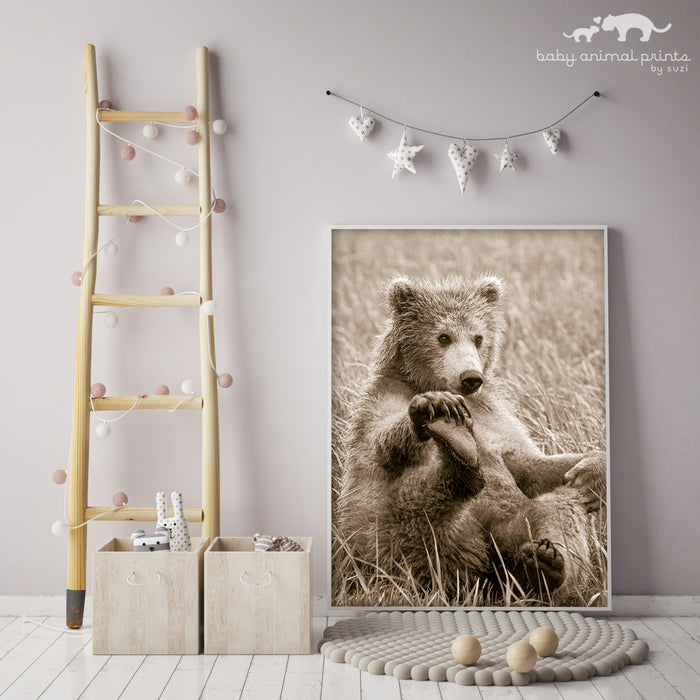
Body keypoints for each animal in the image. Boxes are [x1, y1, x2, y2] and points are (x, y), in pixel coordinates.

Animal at [335, 275, 607, 605]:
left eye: (478, 337)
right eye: (443, 336)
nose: (471, 377)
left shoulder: (495, 418)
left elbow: (533, 466)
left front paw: (591, 472)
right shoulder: (381, 402)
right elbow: (385, 444)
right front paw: (436, 406)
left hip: (514, 531)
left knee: (557, 507)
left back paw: (543, 567)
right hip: (397, 546)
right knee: (418, 510)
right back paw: (458, 453)